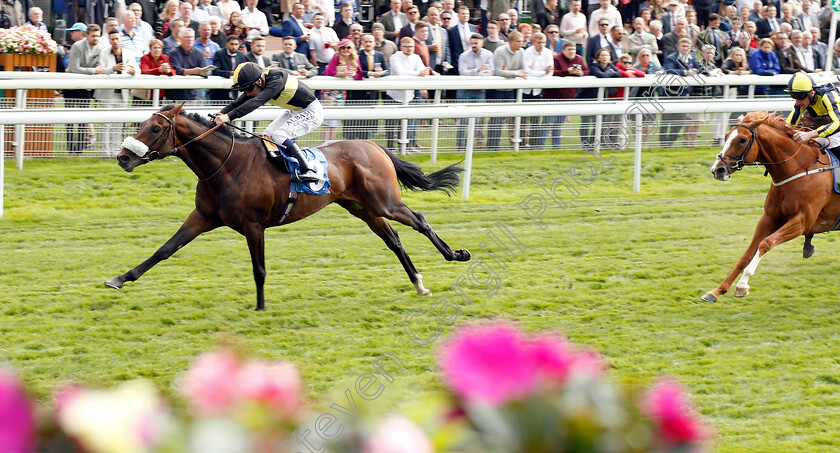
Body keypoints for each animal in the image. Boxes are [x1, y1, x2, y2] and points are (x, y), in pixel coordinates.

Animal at [106, 105, 472, 310]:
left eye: (155, 128)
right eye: (141, 124)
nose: (123, 157)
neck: (227, 165)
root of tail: (374, 145)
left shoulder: (253, 225)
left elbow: (259, 268)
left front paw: (260, 307)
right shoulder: (204, 217)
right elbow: (164, 250)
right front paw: (120, 278)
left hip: (384, 201)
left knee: (419, 220)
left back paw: (456, 255)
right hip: (362, 207)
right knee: (394, 240)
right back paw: (419, 283)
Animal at [704, 110, 840, 302]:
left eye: (742, 140)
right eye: (726, 136)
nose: (717, 170)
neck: (799, 168)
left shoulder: (802, 222)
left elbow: (765, 243)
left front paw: (742, 285)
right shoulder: (769, 217)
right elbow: (748, 253)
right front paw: (717, 291)